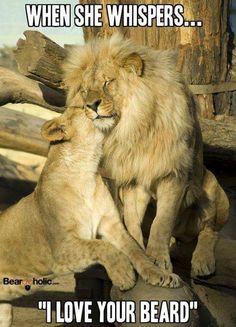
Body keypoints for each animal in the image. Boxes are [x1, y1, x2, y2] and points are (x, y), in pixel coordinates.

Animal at [62, 34, 229, 280]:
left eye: (107, 82)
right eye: (84, 91)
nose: (91, 105)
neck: (135, 128)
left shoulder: (174, 174)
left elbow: (163, 221)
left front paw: (158, 258)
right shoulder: (134, 179)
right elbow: (131, 221)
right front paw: (140, 252)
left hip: (212, 187)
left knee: (210, 231)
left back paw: (202, 262)